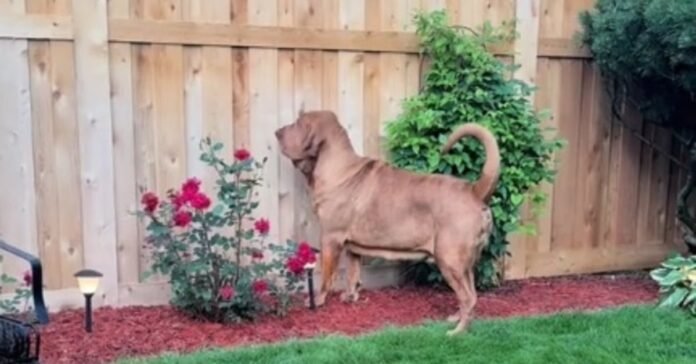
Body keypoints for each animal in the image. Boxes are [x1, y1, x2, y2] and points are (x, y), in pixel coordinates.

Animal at [274, 109, 498, 334]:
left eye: (299, 123)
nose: (277, 132)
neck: (338, 166)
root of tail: (474, 191)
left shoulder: (330, 237)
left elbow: (327, 275)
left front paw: (318, 301)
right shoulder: (352, 246)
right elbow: (353, 273)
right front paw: (350, 297)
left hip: (450, 260)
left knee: (468, 297)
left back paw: (457, 331)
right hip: (464, 264)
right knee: (472, 294)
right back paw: (455, 318)